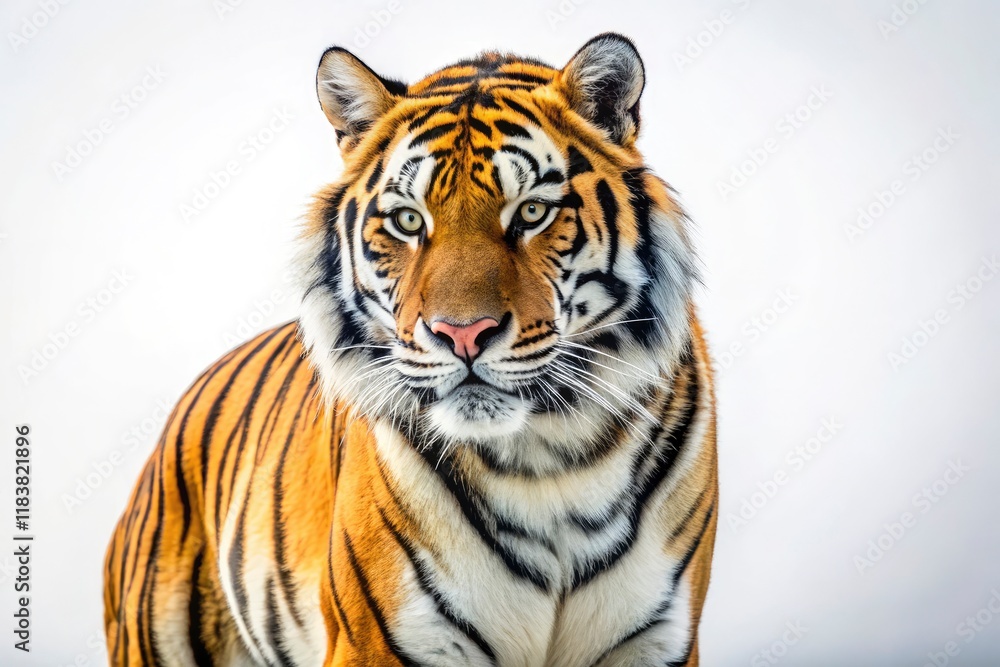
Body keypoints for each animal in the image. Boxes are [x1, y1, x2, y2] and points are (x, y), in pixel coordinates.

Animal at [103, 32, 718, 666]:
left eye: (532, 211)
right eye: (407, 220)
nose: (463, 333)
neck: (549, 464)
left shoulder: (656, 641)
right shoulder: (380, 640)